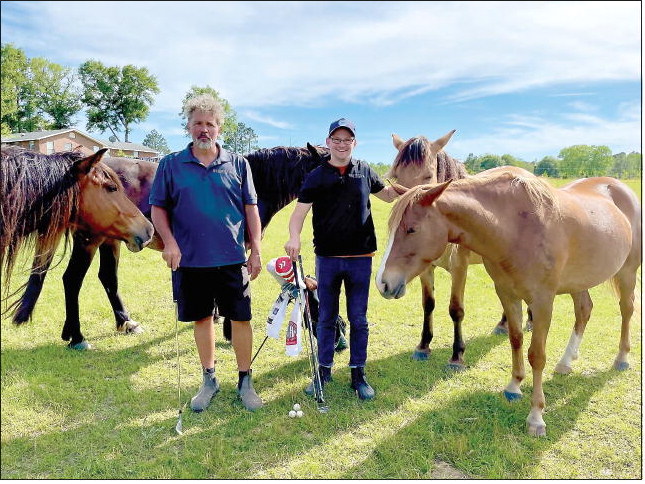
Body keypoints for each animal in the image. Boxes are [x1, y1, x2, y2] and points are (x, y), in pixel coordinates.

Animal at [378, 158, 640, 434]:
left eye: (412, 229)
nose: (383, 283)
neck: (516, 226)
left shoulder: (543, 300)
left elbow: (537, 355)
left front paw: (536, 416)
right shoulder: (506, 293)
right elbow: (515, 339)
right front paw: (514, 386)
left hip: (627, 272)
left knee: (626, 309)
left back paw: (622, 358)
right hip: (579, 282)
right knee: (584, 311)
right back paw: (566, 362)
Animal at [384, 131, 532, 366]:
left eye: (428, 176)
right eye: (397, 177)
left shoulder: (460, 269)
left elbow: (456, 309)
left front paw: (457, 355)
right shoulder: (424, 267)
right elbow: (428, 304)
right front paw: (423, 346)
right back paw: (503, 324)